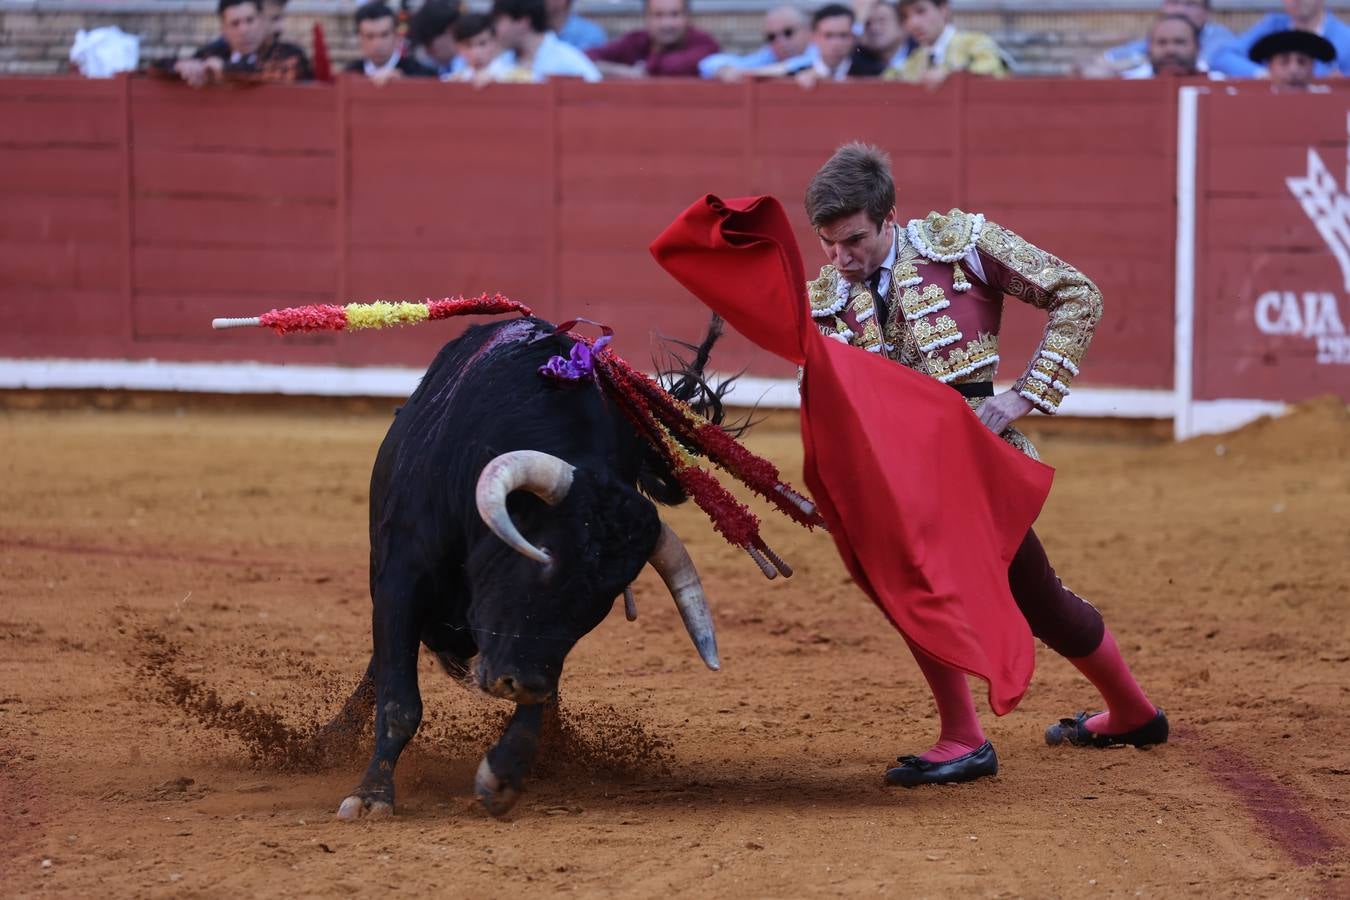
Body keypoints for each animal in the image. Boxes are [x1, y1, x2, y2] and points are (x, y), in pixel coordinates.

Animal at [330, 313, 729, 820]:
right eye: (542, 559)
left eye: (601, 601)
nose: (518, 683)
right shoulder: (401, 577)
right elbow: (399, 699)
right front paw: (371, 795)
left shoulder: (537, 652)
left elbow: (537, 696)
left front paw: (503, 776)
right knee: (381, 667)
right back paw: (332, 739)